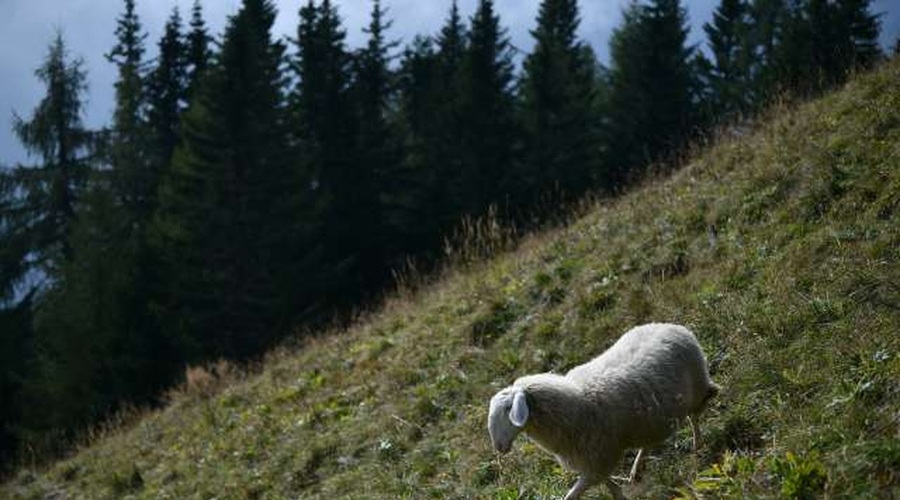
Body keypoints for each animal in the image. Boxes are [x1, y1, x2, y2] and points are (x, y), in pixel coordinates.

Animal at [488, 322, 720, 498]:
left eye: (508, 409)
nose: (498, 447)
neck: (575, 404)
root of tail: (672, 326)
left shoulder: (598, 456)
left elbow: (573, 494)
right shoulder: (596, 458)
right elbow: (609, 484)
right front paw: (620, 494)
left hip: (696, 388)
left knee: (694, 417)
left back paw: (698, 446)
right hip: (651, 417)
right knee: (650, 439)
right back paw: (636, 469)